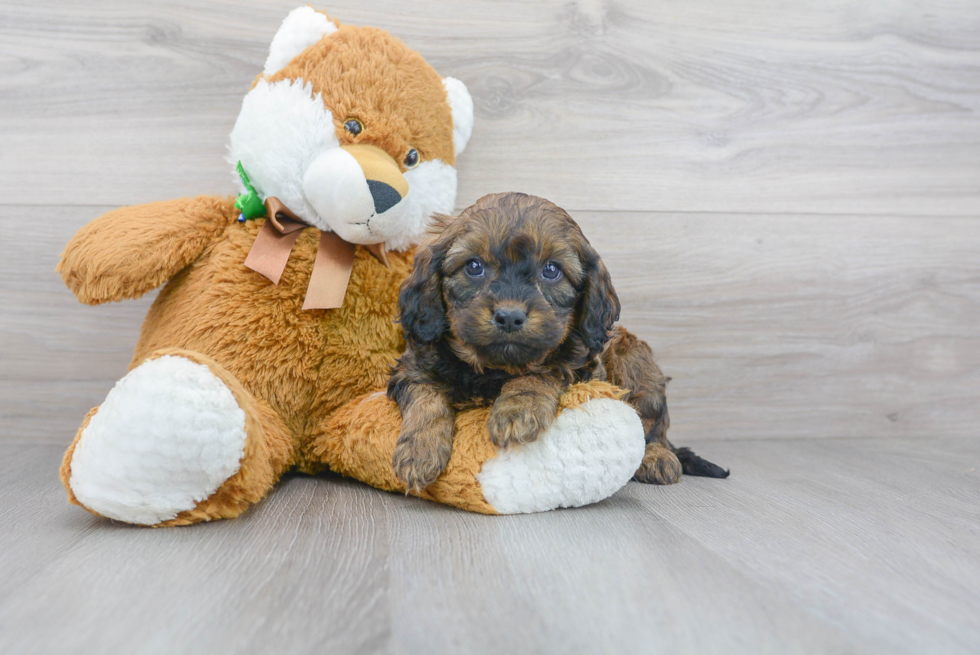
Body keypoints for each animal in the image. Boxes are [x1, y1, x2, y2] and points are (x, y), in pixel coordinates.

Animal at [386, 192, 724, 494]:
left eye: (551, 270)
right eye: (473, 266)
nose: (510, 317)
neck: (496, 371)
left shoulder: (578, 364)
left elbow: (540, 372)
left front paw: (516, 410)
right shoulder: (413, 366)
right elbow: (426, 398)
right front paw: (419, 450)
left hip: (637, 362)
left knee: (652, 425)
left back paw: (656, 456)